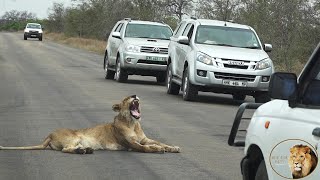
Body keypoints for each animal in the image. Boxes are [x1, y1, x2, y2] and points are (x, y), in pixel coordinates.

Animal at [0, 95, 180, 154]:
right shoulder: (130, 143)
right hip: (73, 137)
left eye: (133, 96)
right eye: (127, 98)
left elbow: (159, 142)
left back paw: (85, 149)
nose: (135, 95)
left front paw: (173, 147)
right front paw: (158, 149)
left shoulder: (144, 139)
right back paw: (82, 151)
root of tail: (49, 135)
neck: (133, 123)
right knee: (65, 149)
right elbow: (145, 148)